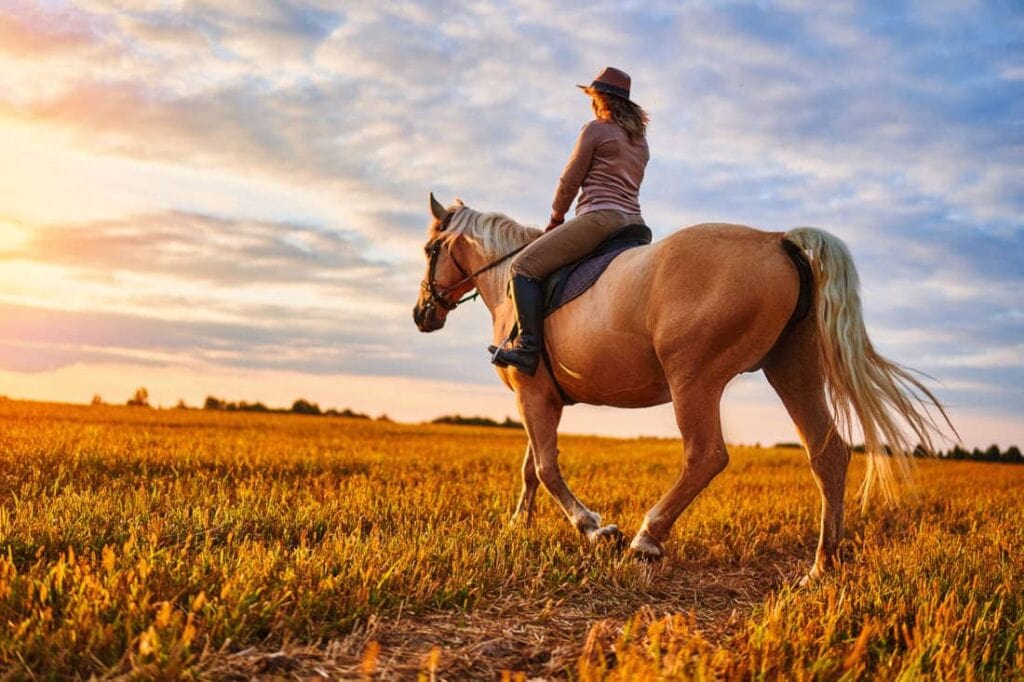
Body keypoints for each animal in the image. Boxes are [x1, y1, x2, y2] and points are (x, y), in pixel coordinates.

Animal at [413, 194, 952, 582]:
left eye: (428, 250)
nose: (421, 314)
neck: (509, 278)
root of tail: (778, 241)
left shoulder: (532, 394)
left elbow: (545, 468)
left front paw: (596, 529)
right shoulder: (540, 398)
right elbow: (531, 468)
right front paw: (518, 526)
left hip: (694, 377)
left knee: (706, 455)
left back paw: (646, 539)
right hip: (792, 369)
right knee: (828, 453)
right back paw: (822, 566)